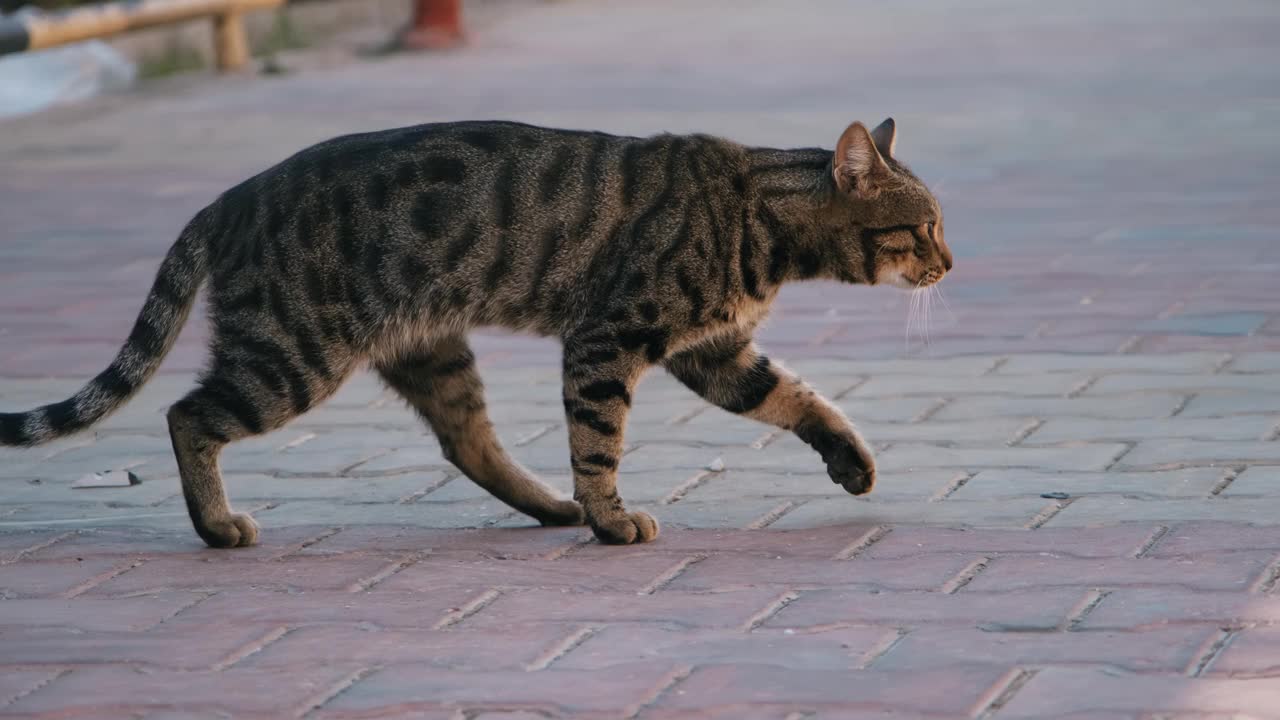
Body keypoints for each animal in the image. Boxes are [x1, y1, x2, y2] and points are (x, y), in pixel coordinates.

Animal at [0, 117, 952, 543]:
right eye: (924, 227)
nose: (950, 262)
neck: (763, 219)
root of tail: (227, 198)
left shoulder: (715, 353)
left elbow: (799, 398)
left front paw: (851, 461)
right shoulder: (610, 338)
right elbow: (598, 439)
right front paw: (612, 519)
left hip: (429, 353)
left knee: (466, 443)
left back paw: (548, 506)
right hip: (293, 355)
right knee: (185, 414)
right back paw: (215, 524)